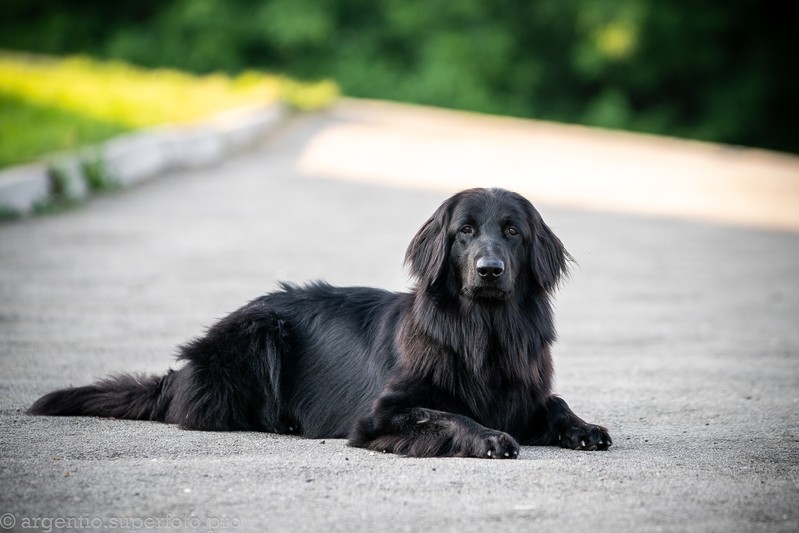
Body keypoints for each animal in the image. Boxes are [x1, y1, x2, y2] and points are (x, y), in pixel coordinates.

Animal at [28, 187, 608, 458]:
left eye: (512, 231)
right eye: (464, 231)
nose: (490, 270)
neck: (481, 335)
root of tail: (181, 371)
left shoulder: (527, 391)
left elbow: (555, 403)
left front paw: (583, 428)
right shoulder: (379, 415)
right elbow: (446, 414)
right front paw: (487, 435)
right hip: (261, 332)